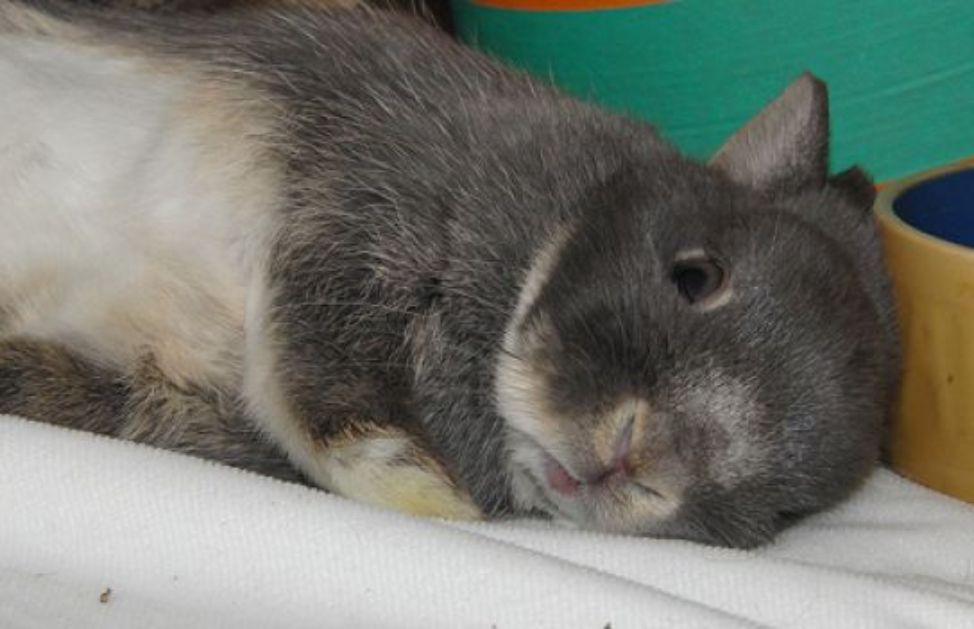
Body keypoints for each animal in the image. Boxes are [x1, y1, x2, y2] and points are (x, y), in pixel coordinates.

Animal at [0, 0, 900, 547]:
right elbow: (314, 362)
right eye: (696, 274)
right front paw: (423, 487)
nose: (638, 465)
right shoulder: (348, 212)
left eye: (782, 507)